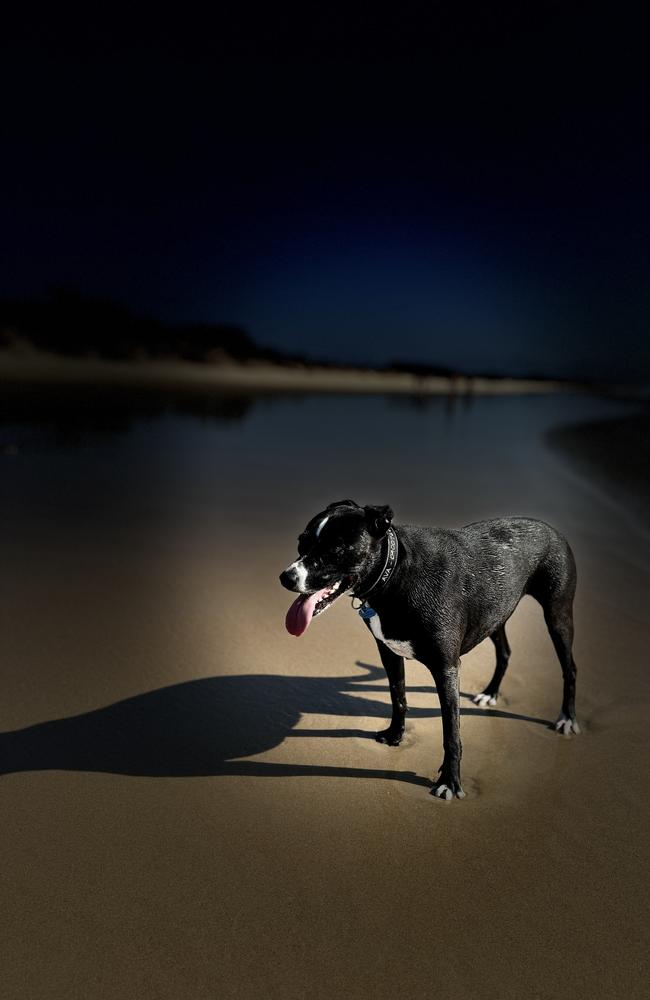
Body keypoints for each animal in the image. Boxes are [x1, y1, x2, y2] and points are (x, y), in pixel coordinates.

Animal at [278, 504, 576, 800]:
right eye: (301, 541)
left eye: (336, 549)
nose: (286, 578)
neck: (395, 571)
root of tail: (551, 529)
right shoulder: (389, 654)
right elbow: (398, 697)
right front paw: (395, 736)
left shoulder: (446, 669)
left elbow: (451, 732)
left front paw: (450, 781)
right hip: (494, 615)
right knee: (504, 653)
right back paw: (491, 692)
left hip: (557, 616)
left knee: (569, 667)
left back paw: (567, 718)